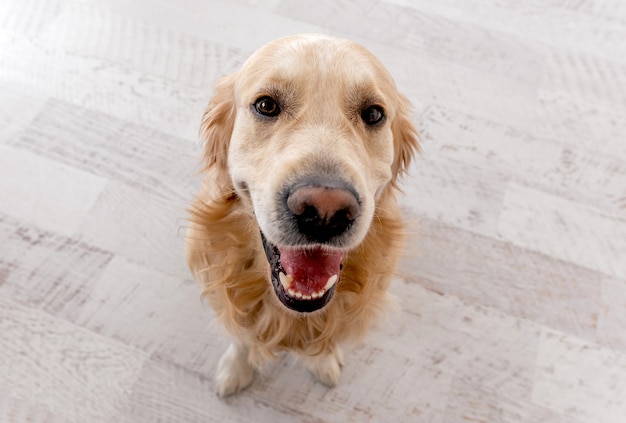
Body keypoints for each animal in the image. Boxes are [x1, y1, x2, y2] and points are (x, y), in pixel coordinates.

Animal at [185, 34, 420, 398]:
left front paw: (323, 362)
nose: (325, 211)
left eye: (373, 113)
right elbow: (242, 335)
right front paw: (235, 369)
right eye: (266, 106)